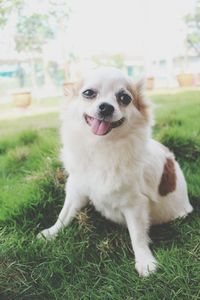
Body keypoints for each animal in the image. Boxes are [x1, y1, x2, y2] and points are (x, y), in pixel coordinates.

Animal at [37, 67, 192, 276]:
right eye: (88, 93)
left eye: (125, 98)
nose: (106, 107)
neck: (101, 146)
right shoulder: (77, 189)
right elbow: (64, 214)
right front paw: (52, 232)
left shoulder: (134, 205)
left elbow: (137, 236)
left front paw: (144, 261)